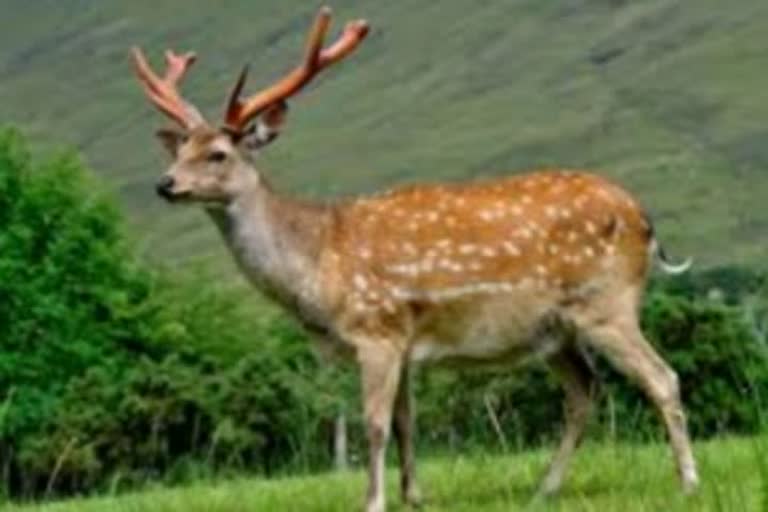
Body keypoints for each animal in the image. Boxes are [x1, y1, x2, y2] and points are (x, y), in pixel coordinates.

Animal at [130, 5, 696, 512]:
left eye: (218, 154)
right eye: (178, 151)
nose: (164, 184)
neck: (317, 267)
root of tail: (644, 220)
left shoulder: (376, 328)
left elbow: (375, 424)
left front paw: (373, 502)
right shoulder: (401, 339)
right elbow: (406, 423)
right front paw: (414, 497)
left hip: (606, 303)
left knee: (661, 378)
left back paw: (687, 482)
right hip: (555, 330)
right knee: (585, 391)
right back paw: (545, 490)